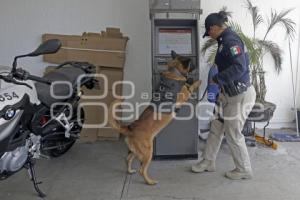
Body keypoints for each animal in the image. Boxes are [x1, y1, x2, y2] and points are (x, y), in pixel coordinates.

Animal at [108, 50, 202, 185]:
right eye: (192, 63)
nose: (197, 66)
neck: (174, 71)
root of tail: (130, 128)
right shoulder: (185, 94)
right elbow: (192, 86)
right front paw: (198, 81)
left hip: (136, 151)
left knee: (128, 159)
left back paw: (130, 171)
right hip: (148, 152)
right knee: (142, 169)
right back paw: (150, 181)